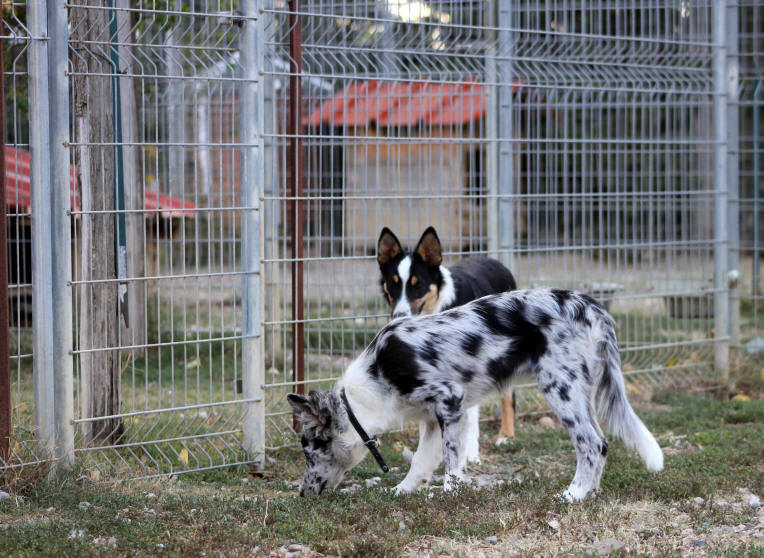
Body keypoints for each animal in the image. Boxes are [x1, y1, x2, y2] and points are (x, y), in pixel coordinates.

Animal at [286, 290, 664, 500]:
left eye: (308, 451)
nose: (302, 494)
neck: (376, 376)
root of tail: (589, 306)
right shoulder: (431, 419)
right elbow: (421, 462)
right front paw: (402, 492)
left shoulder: (450, 401)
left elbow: (453, 462)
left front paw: (448, 495)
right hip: (579, 391)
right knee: (602, 442)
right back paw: (590, 493)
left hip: (560, 388)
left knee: (592, 443)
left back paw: (573, 494)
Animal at [376, 230, 520, 462]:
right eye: (393, 284)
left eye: (418, 285)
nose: (399, 316)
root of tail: (494, 261)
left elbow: (470, 418)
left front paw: (471, 455)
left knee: (509, 397)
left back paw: (506, 435)